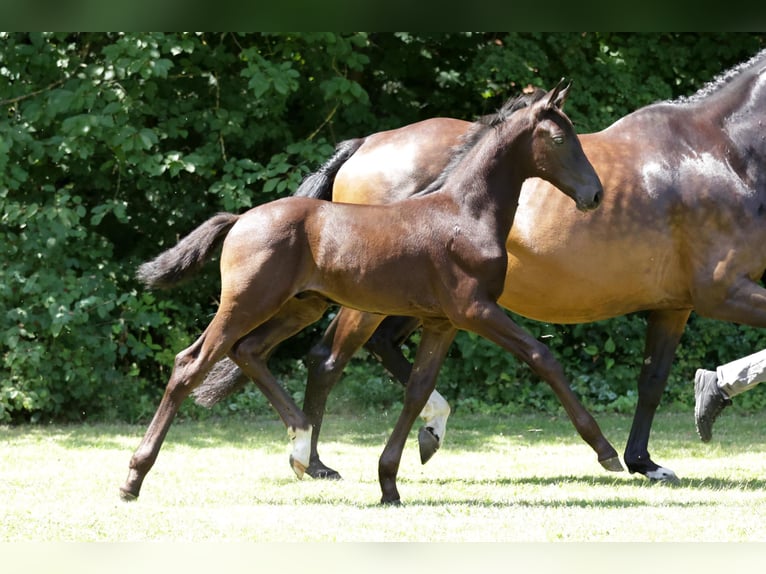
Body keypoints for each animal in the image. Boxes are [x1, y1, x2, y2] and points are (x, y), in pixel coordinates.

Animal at [120, 81, 612, 504]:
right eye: (559, 139)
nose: (594, 194)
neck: (465, 213)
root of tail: (240, 219)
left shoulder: (442, 322)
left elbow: (417, 390)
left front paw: (390, 482)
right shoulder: (476, 310)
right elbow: (542, 357)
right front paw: (605, 450)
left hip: (299, 307)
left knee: (249, 351)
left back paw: (303, 447)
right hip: (246, 303)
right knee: (191, 364)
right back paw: (134, 478)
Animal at [195, 49, 766, 484]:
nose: (595, 195)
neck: (723, 154)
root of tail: (362, 146)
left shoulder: (676, 304)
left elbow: (651, 380)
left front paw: (646, 460)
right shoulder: (722, 291)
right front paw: (711, 396)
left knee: (359, 354)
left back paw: (415, 433)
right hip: (367, 302)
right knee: (327, 360)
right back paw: (316, 461)